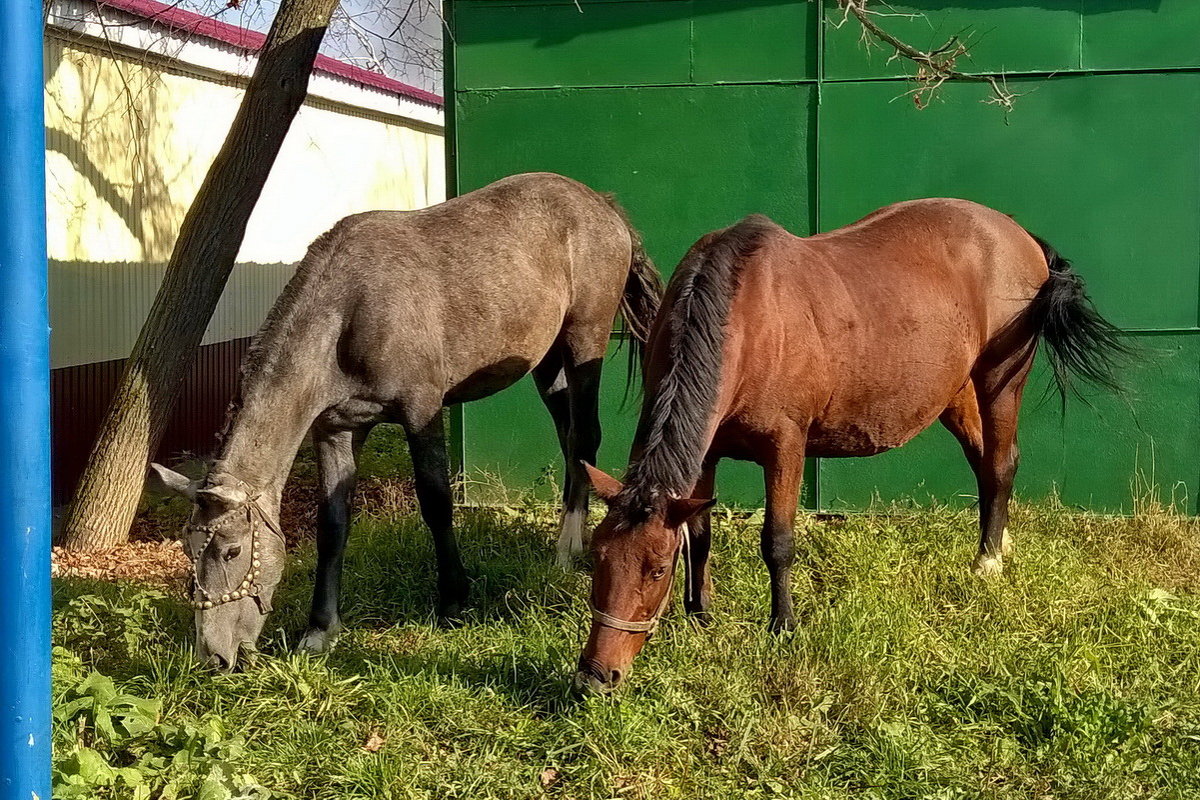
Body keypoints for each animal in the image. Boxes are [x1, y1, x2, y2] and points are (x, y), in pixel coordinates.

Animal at [147, 173, 667, 671]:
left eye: (232, 550)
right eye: (187, 549)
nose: (214, 656)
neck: (347, 315)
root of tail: (601, 204)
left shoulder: (422, 411)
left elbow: (436, 502)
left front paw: (454, 599)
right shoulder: (335, 429)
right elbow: (332, 525)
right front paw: (320, 630)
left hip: (585, 339)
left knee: (584, 435)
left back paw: (567, 548)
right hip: (547, 360)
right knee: (568, 437)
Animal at [576, 200, 1128, 695]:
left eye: (655, 570)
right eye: (597, 558)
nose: (597, 677)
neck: (745, 318)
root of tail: (1018, 233)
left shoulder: (785, 446)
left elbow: (777, 542)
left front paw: (783, 626)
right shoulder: (706, 452)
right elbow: (700, 534)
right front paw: (699, 616)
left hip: (1002, 378)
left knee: (1001, 461)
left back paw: (988, 562)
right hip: (954, 390)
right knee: (984, 463)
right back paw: (1000, 542)